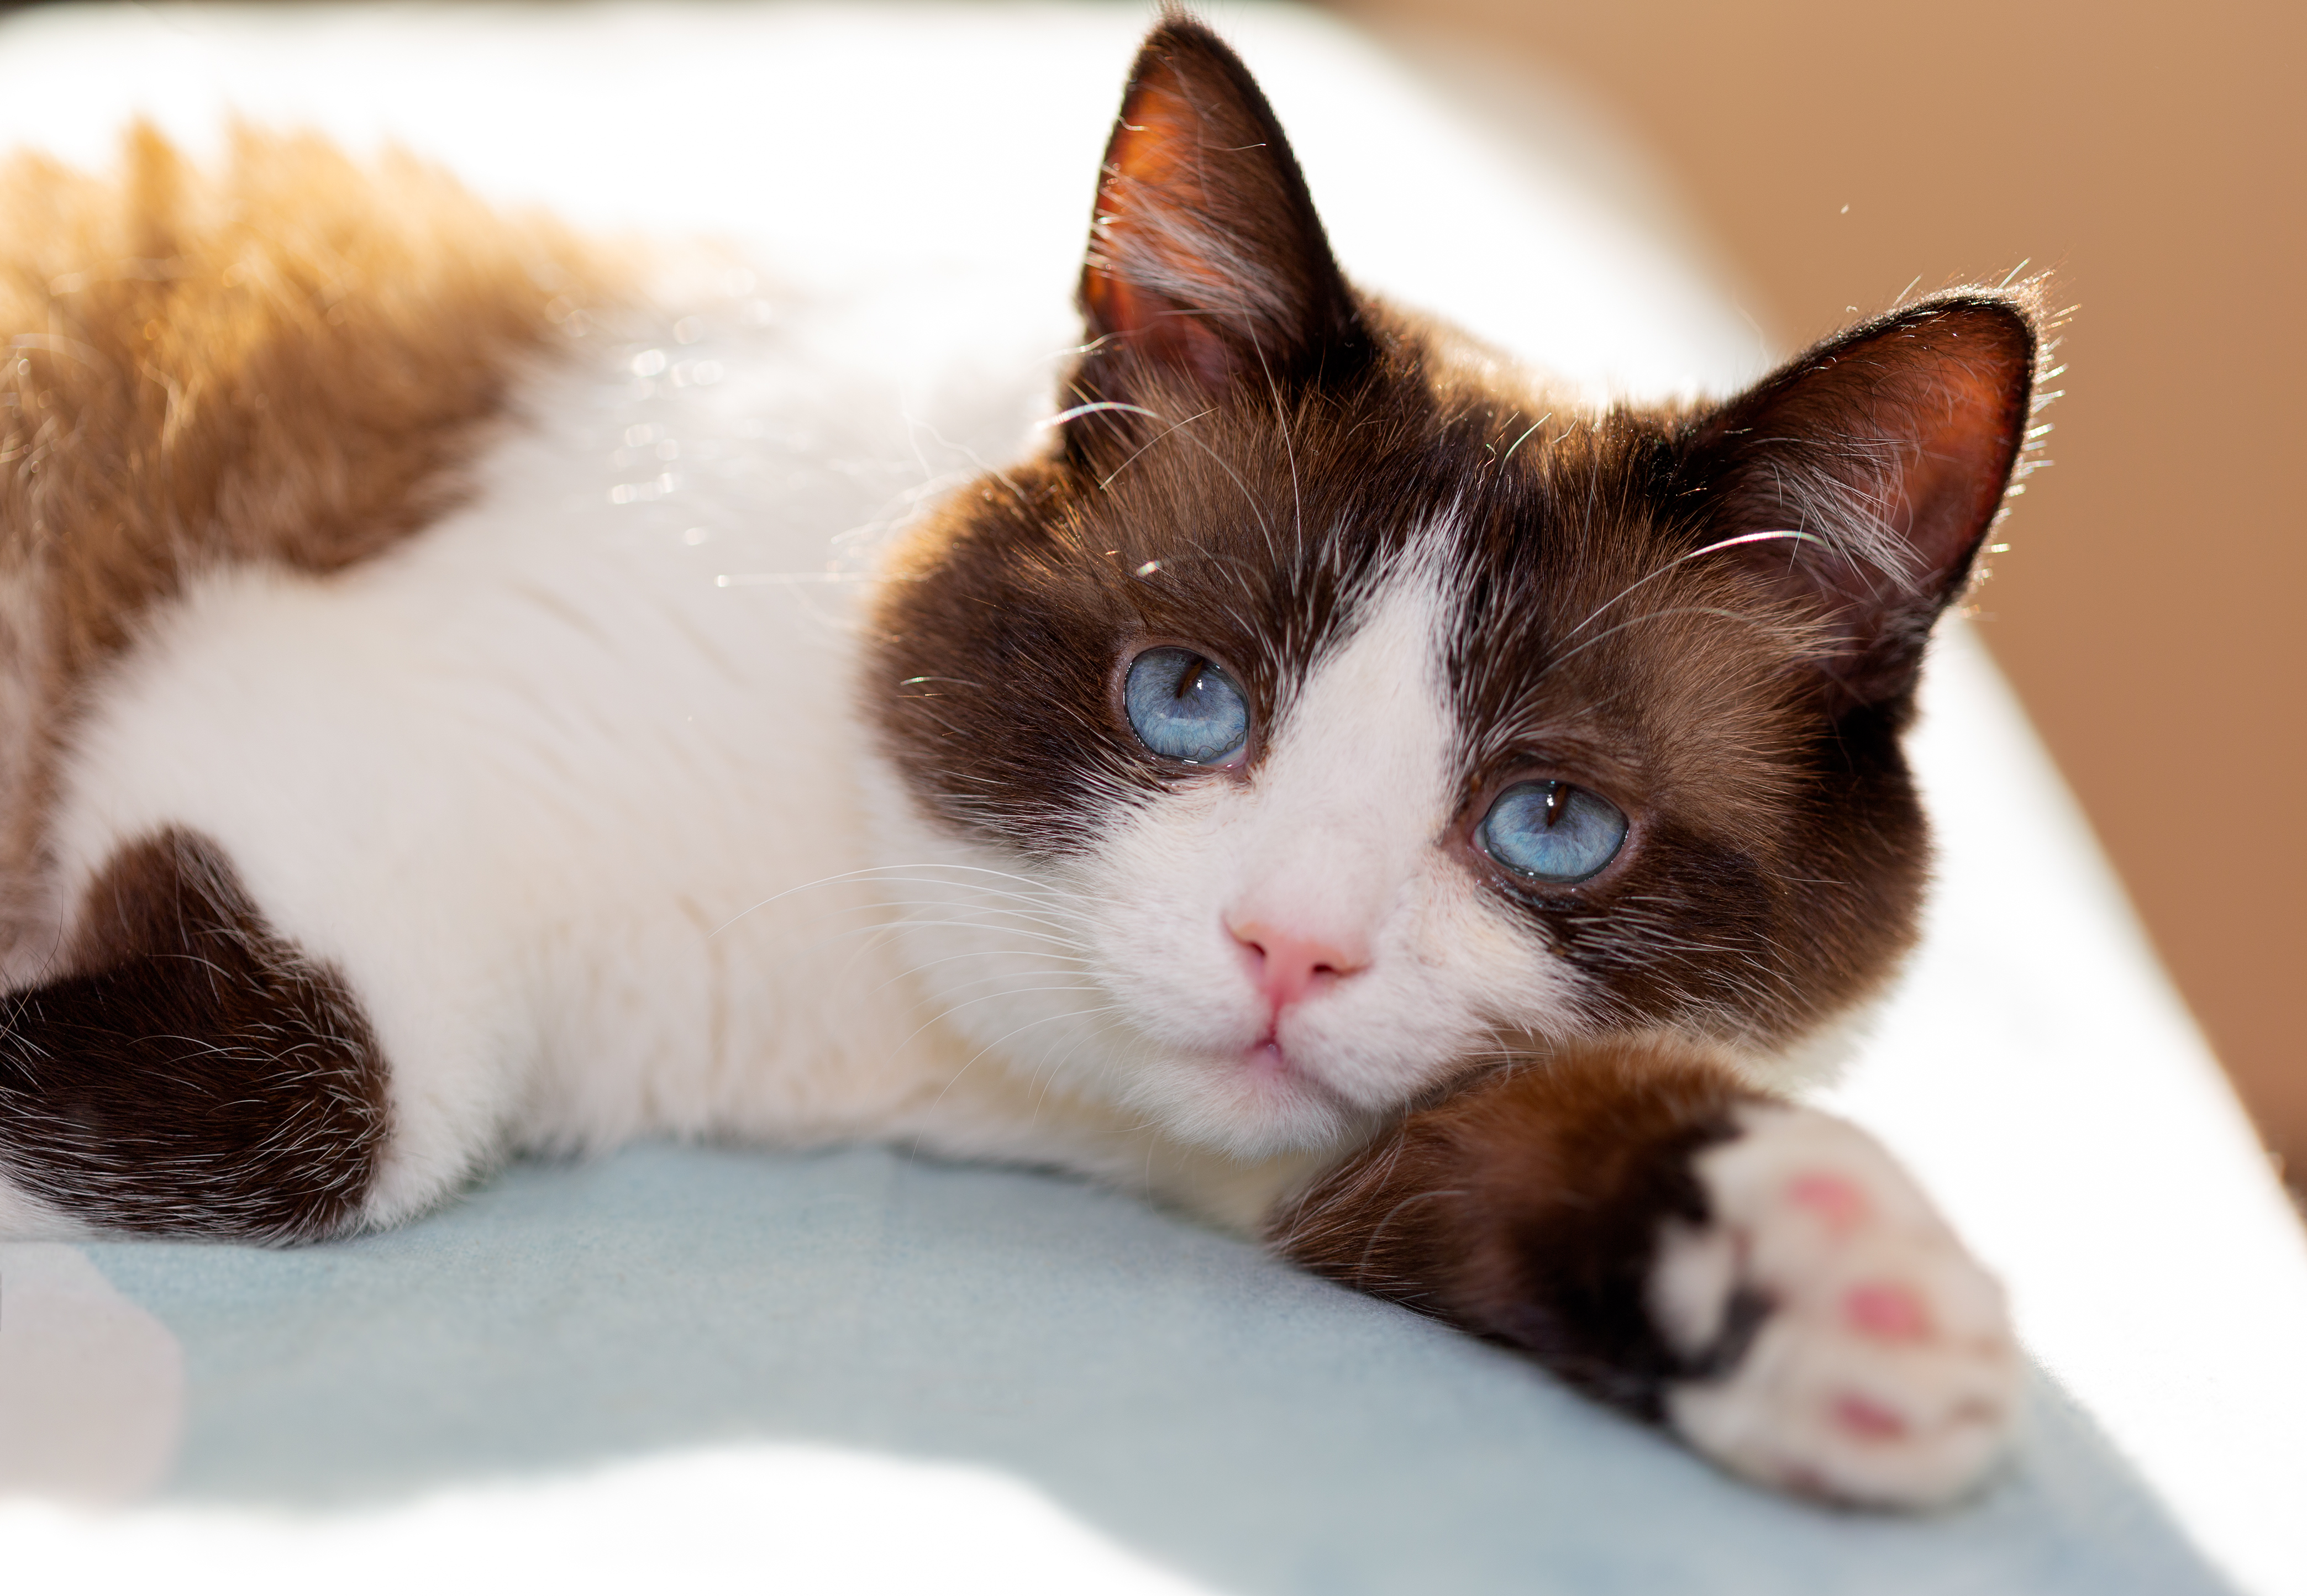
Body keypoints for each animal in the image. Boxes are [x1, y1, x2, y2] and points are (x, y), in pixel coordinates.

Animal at [0, 12, 2039, 1513]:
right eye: (1186, 700)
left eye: (1549, 822)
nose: (1287, 953)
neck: (891, 1030)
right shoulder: (304, 702)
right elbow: (322, 1109)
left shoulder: (1283, 1154)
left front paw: (1822, 1289)